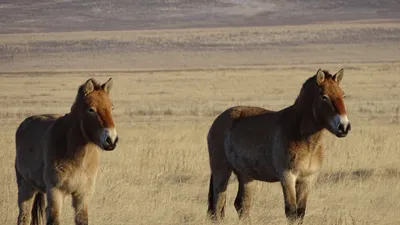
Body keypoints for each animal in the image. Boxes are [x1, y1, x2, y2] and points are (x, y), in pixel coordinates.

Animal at [16, 78, 119, 225]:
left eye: (112, 108)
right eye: (91, 109)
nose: (111, 140)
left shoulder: (83, 194)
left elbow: (82, 219)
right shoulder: (55, 192)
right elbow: (54, 220)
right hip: (25, 187)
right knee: (24, 216)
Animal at [208, 69, 352, 224]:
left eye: (342, 95)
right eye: (324, 96)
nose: (344, 127)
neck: (303, 139)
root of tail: (218, 120)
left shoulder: (308, 179)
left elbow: (300, 212)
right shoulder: (287, 177)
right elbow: (291, 212)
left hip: (246, 175)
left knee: (242, 205)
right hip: (221, 171)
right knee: (218, 205)